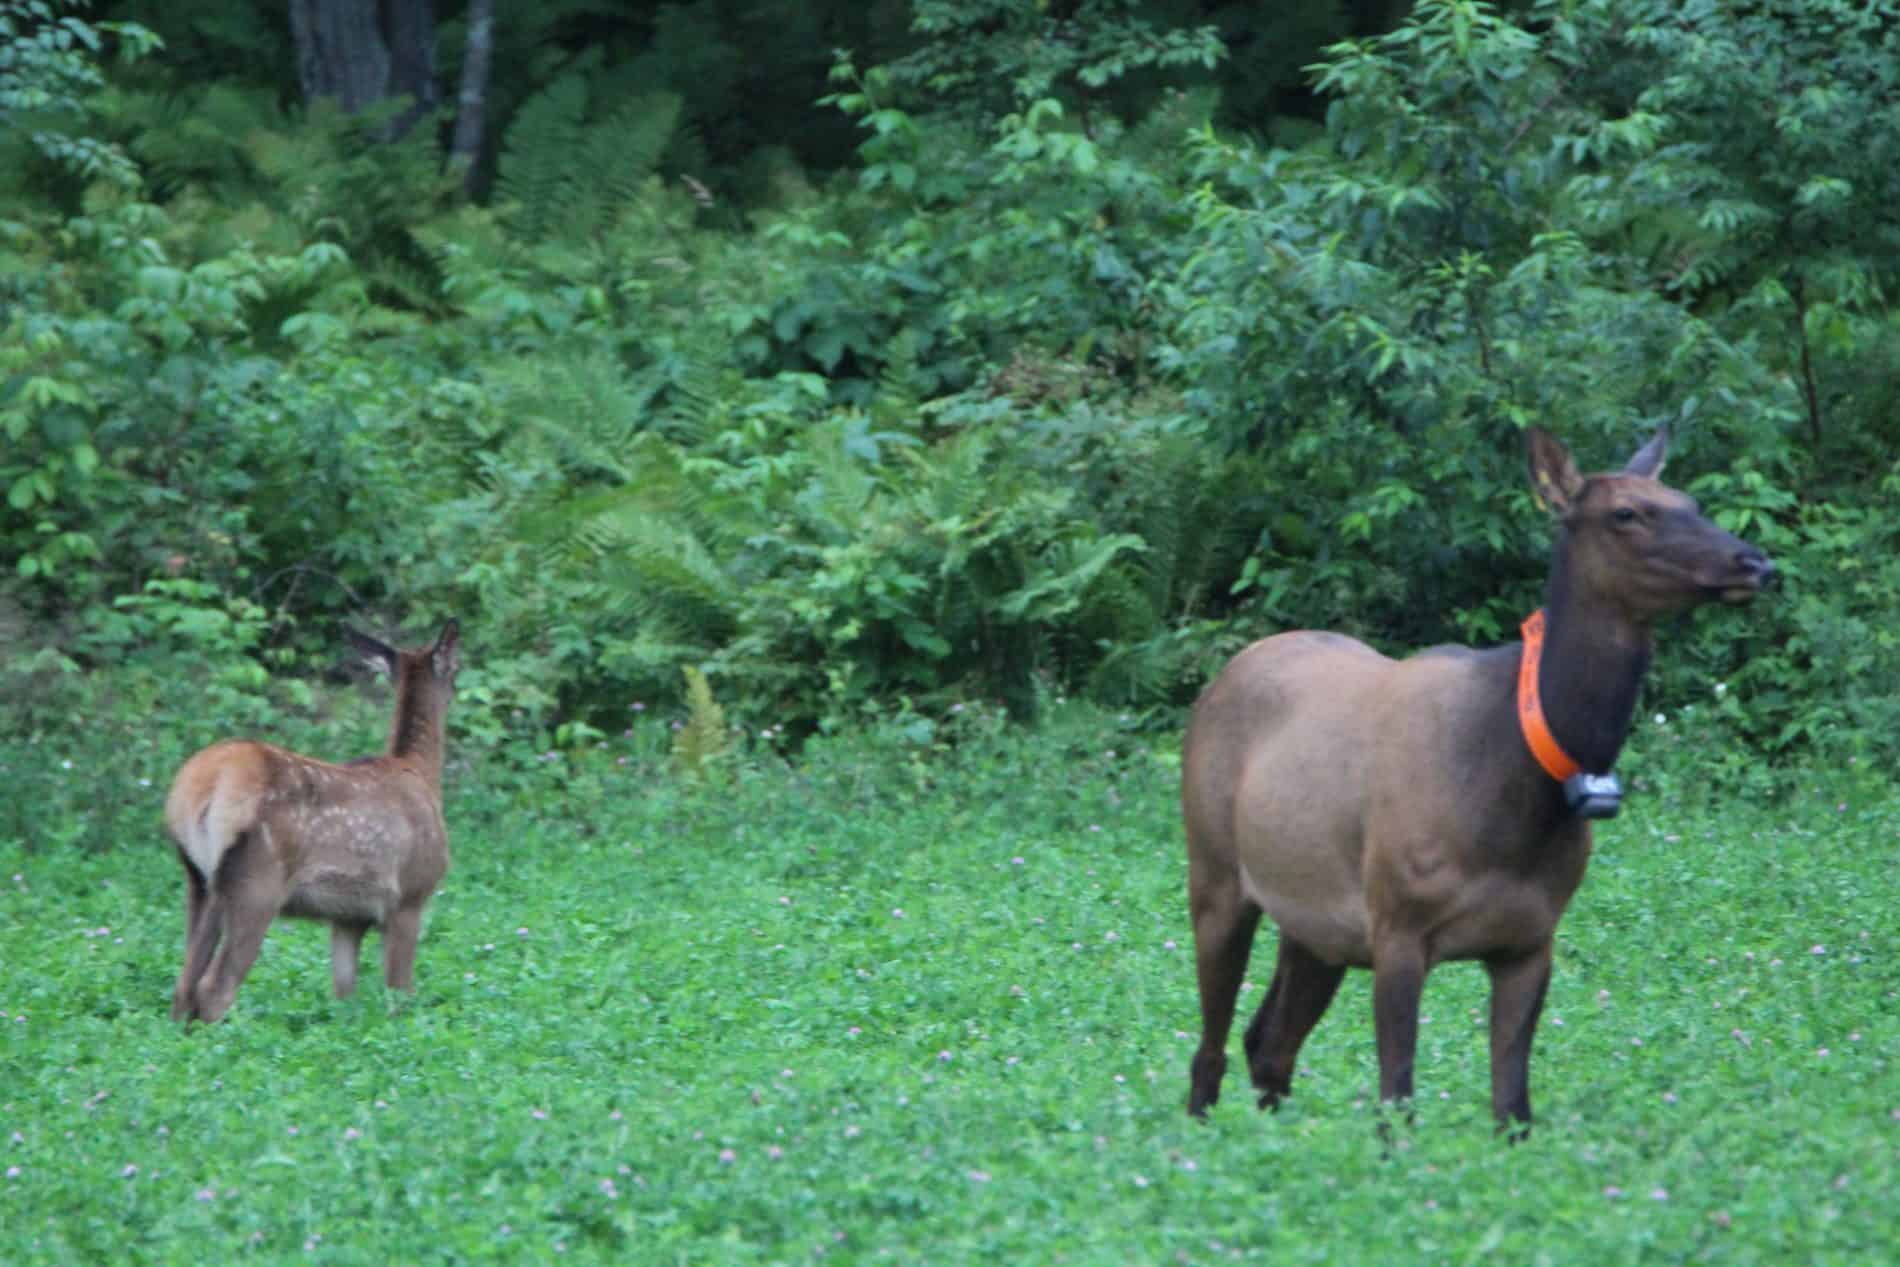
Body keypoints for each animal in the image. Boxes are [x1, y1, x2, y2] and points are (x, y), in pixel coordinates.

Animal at [163, 621, 461, 1023]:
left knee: (184, 984)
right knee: (214, 987)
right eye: (457, 671)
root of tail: (203, 787)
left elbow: (344, 993)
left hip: (200, 881)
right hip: (257, 883)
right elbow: (400, 993)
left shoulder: (348, 917)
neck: (422, 775)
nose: (456, 689)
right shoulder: (410, 895)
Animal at [1181, 429, 1774, 1131]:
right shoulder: (1397, 924)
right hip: (1215, 870)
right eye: (1627, 512)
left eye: (1690, 500)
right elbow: (1397, 1101)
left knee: (1268, 1042)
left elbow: (1513, 1108)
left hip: (1316, 924)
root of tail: (1222, 676)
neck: (1513, 788)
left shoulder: (1531, 939)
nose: (1756, 563)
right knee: (1210, 1051)